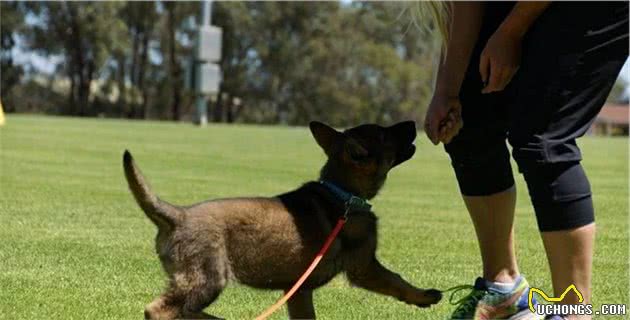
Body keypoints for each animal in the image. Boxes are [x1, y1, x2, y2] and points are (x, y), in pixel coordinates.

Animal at [122, 121, 440, 318]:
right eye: (384, 134)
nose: (413, 122)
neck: (343, 192)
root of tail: (178, 214)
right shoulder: (364, 267)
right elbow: (396, 280)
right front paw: (423, 295)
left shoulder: (298, 291)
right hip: (207, 278)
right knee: (158, 310)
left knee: (182, 310)